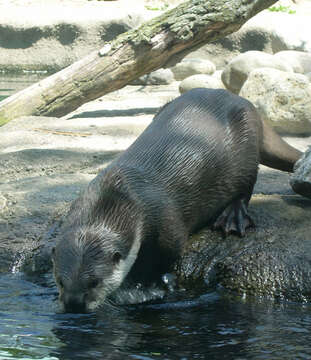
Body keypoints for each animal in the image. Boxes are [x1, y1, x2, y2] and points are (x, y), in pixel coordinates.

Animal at [51, 87, 302, 312]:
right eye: (60, 281)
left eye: (94, 281)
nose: (74, 304)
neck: (120, 195)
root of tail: (247, 104)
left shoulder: (167, 224)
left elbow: (165, 256)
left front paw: (142, 289)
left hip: (247, 150)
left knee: (246, 186)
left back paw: (233, 216)